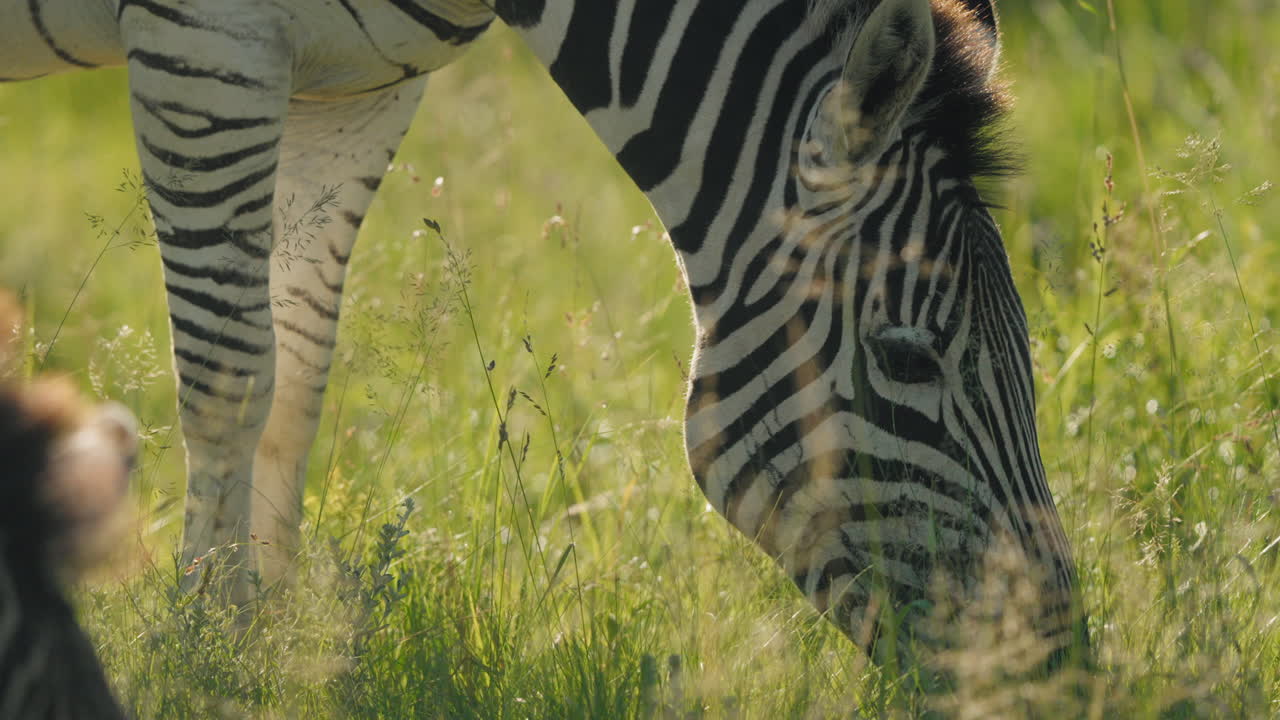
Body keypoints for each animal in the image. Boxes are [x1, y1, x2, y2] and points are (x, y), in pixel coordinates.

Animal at [1, 0, 1085, 663]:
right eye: (904, 358)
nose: (1055, 665)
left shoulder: (353, 85)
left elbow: (297, 373)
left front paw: (275, 640)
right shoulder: (209, 42)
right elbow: (233, 376)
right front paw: (212, 648)